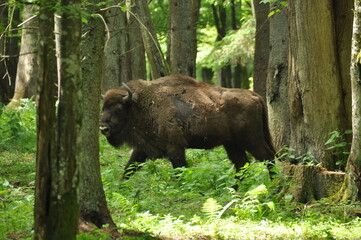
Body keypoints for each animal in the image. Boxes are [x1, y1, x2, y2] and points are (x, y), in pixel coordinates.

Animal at [100, 75, 274, 178]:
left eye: (118, 108)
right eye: (103, 107)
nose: (103, 129)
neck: (140, 104)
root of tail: (255, 96)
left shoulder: (175, 148)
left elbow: (179, 170)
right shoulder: (142, 148)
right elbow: (129, 168)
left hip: (251, 139)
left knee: (267, 157)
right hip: (231, 143)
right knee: (241, 163)